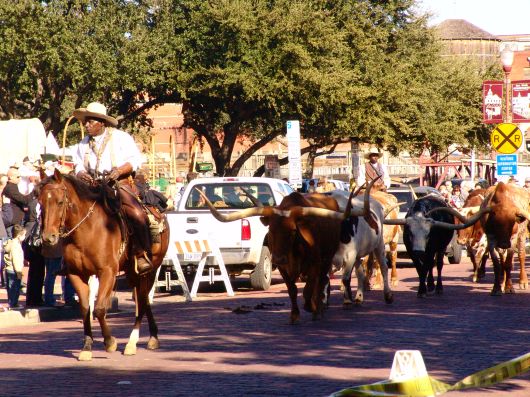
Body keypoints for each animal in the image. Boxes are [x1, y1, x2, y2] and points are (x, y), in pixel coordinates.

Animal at [37, 169, 169, 360]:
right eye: (40, 203)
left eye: (60, 201)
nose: (48, 237)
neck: (86, 230)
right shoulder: (76, 274)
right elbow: (85, 308)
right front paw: (86, 347)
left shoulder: (107, 272)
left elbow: (99, 309)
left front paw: (110, 342)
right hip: (132, 272)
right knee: (143, 300)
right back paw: (153, 337)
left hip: (150, 269)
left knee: (143, 301)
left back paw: (132, 342)